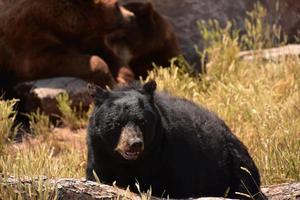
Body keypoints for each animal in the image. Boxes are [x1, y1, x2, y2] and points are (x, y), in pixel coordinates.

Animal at [0, 0, 135, 93]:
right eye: (117, 5)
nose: (131, 16)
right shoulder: (29, 36)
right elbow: (39, 63)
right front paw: (110, 82)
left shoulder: (88, 38)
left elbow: (110, 54)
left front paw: (124, 80)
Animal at [86, 80, 268, 199]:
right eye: (117, 123)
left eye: (142, 121)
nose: (134, 144)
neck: (132, 162)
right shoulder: (100, 153)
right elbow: (97, 176)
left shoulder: (170, 155)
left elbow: (178, 187)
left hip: (234, 161)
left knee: (245, 184)